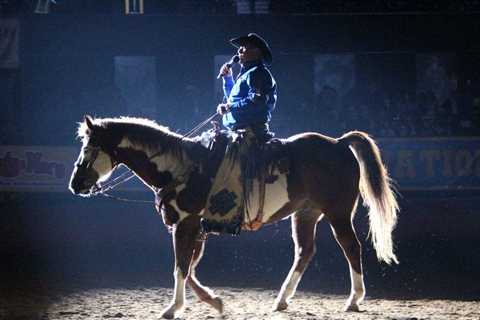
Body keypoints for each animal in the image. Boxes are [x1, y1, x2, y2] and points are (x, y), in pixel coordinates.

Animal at [67, 116, 398, 318]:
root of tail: (339, 143)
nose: (75, 184)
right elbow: (190, 268)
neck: (180, 167)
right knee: (305, 252)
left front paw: (173, 308)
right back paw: (281, 300)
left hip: (337, 212)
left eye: (89, 147)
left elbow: (180, 267)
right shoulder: (197, 228)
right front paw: (213, 300)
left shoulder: (185, 224)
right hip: (306, 213)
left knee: (351, 247)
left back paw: (353, 300)